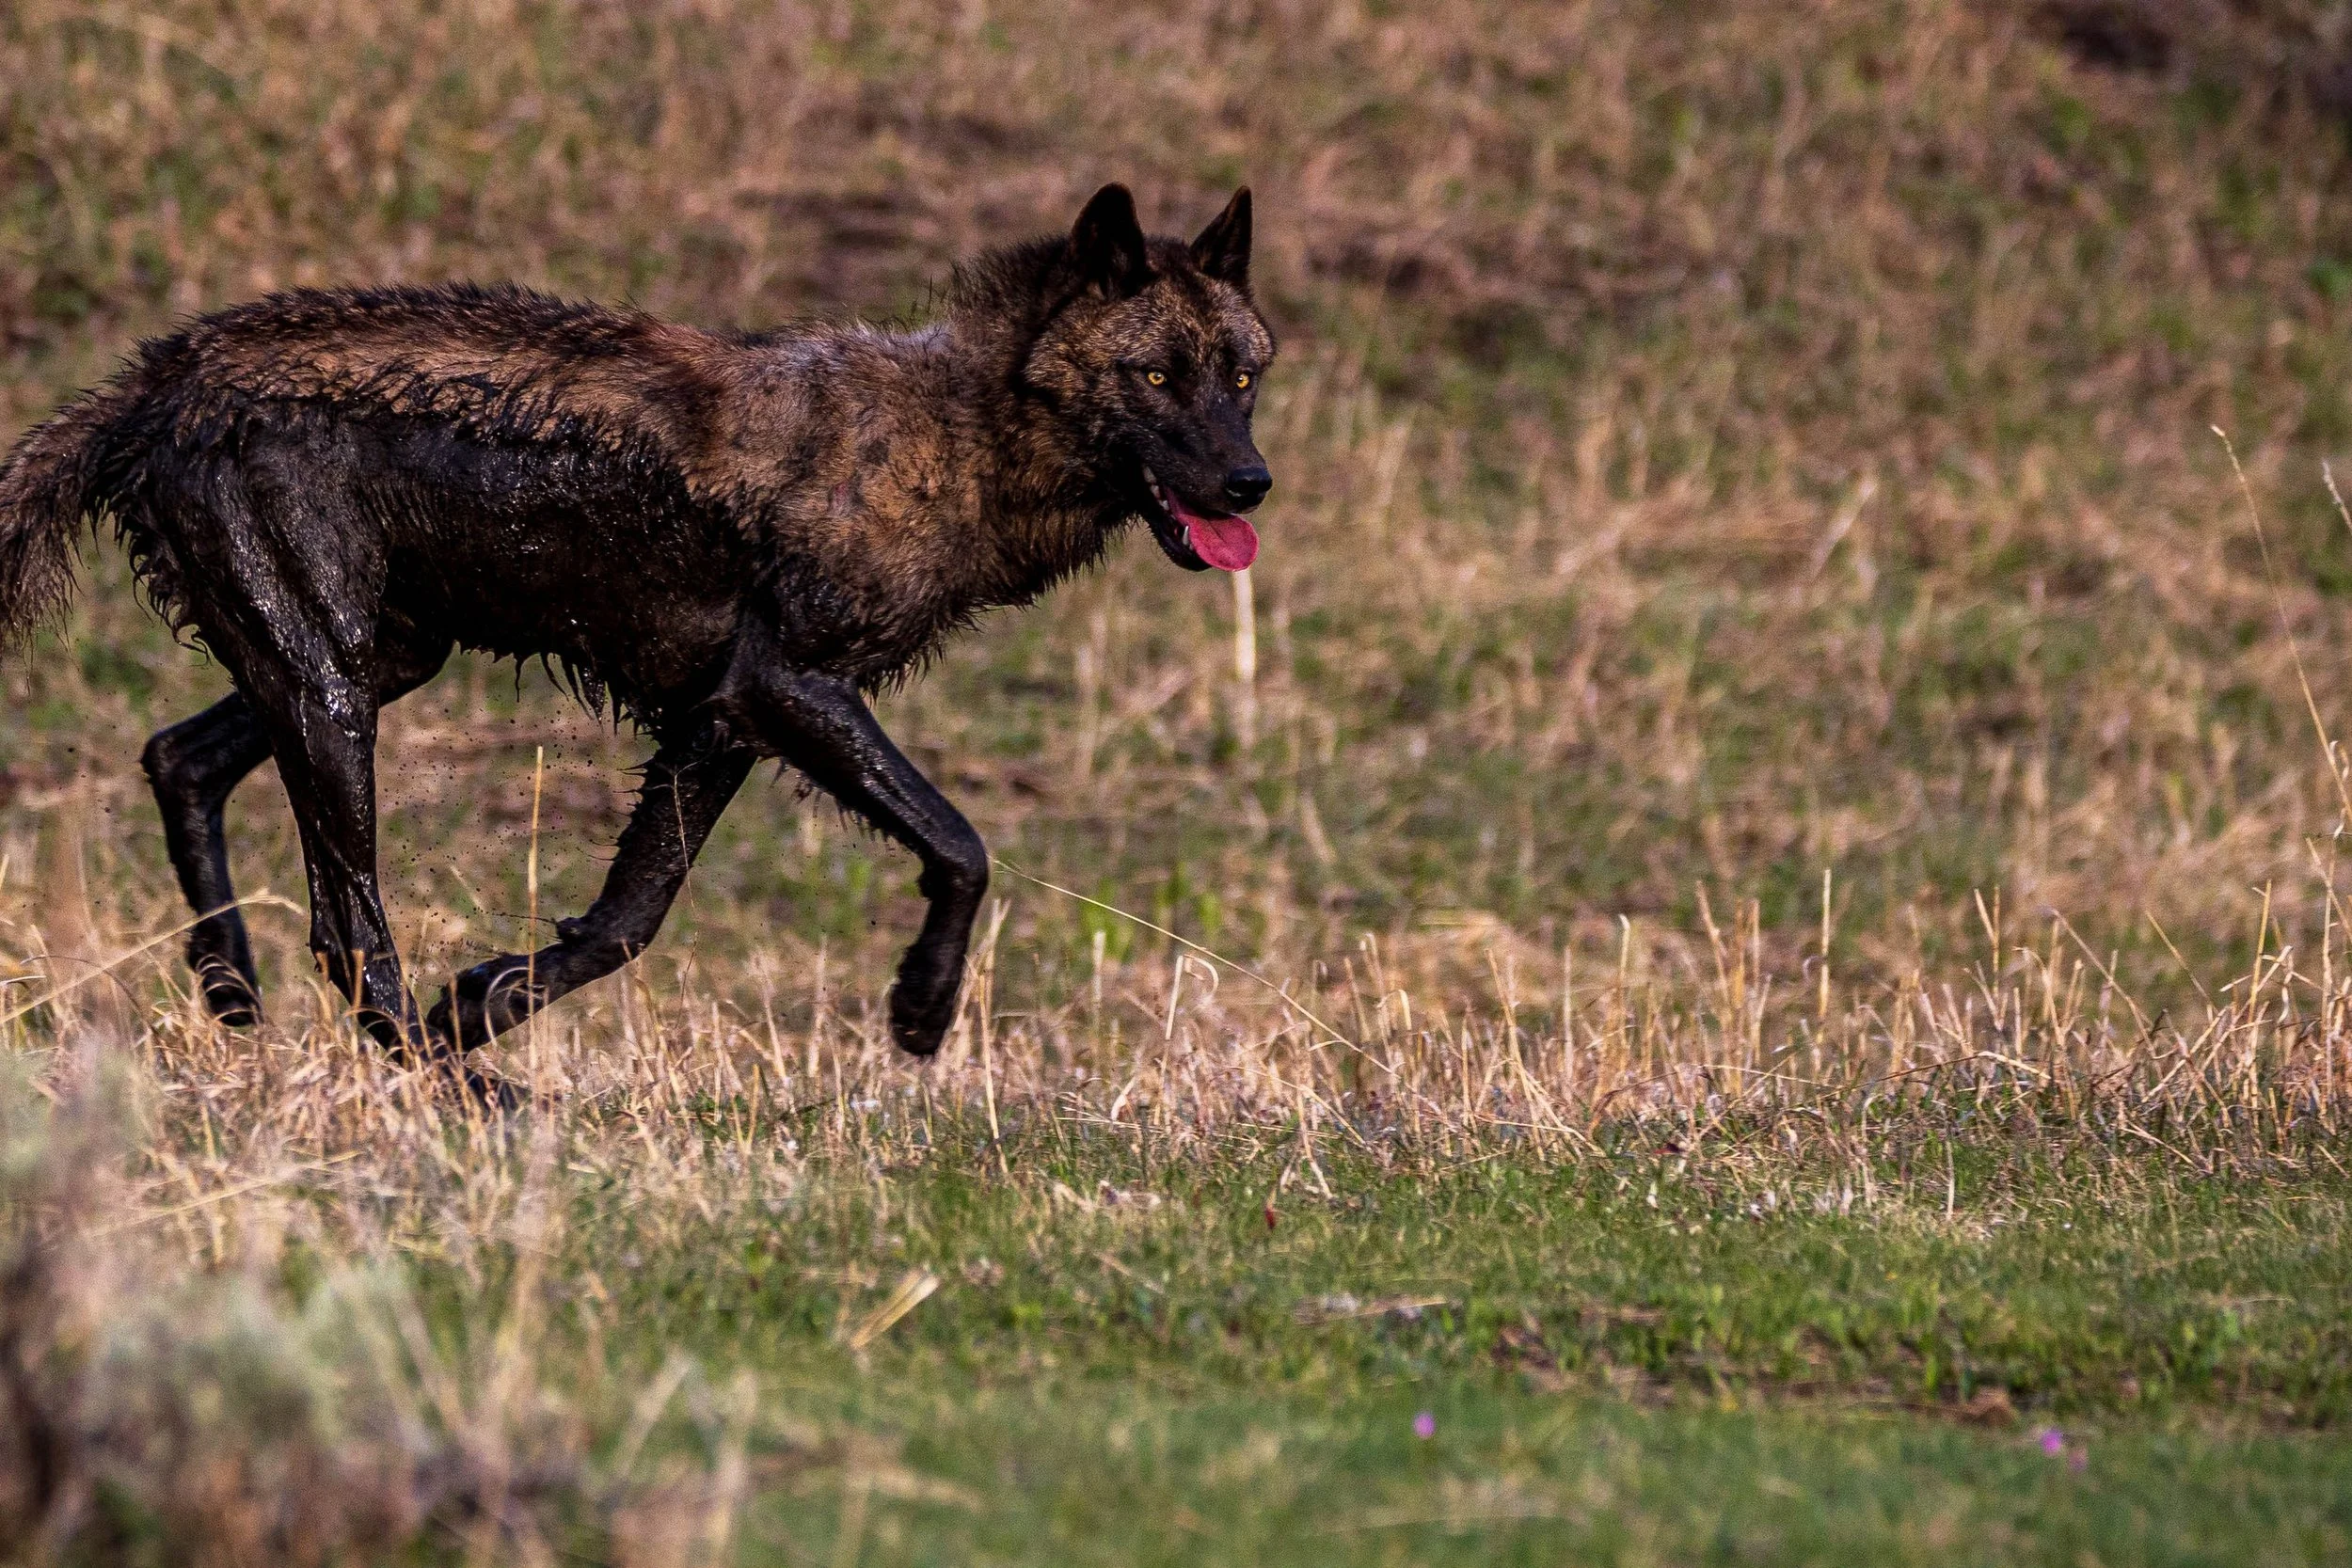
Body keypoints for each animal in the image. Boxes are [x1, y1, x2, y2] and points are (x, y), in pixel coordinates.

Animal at [0, 183, 1274, 1074]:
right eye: (1155, 376)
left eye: (1242, 376)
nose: (1251, 483)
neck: (959, 435)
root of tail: (154, 377)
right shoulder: (787, 686)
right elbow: (963, 845)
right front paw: (920, 1010)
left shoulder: (718, 720)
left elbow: (629, 919)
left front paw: (483, 1001)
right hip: (338, 697)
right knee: (343, 929)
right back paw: (466, 1095)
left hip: (375, 661)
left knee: (177, 756)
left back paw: (241, 992)